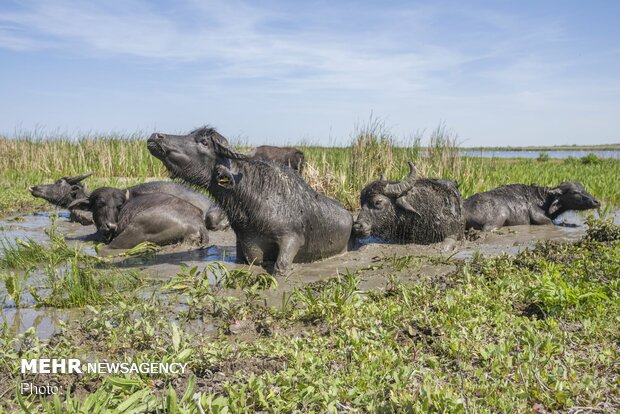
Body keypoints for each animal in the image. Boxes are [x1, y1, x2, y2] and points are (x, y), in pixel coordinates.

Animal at [147, 126, 354, 274]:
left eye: (204, 142)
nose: (155, 136)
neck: (252, 198)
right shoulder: (243, 244)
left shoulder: (292, 238)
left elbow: (280, 268)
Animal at [462, 183, 600, 231]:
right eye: (575, 192)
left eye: (583, 189)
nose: (596, 201)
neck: (545, 200)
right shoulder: (538, 218)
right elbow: (550, 222)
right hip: (501, 215)